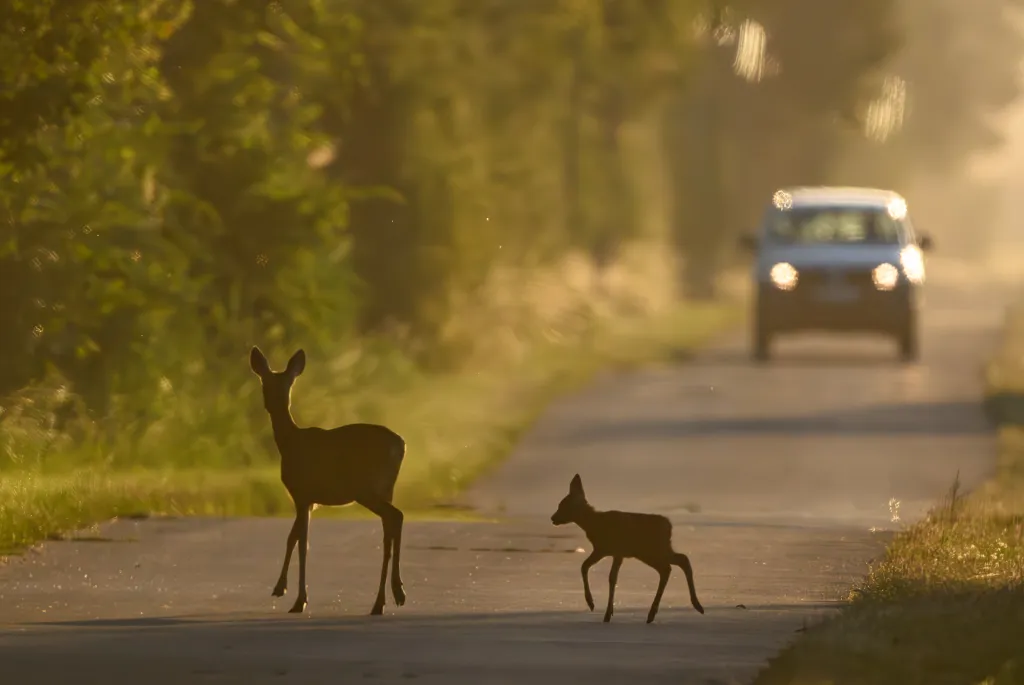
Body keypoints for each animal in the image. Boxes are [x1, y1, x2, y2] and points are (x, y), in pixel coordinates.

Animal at [249, 345, 407, 615]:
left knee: (395, 517)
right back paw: (386, 599)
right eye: (266, 383)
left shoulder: (301, 493)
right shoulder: (309, 500)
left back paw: (389, 597)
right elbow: (293, 538)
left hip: (367, 488)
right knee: (390, 527)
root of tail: (401, 445)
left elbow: (302, 543)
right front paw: (281, 588)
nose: (271, 404)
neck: (289, 443)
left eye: (286, 385)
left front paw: (299, 600)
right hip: (386, 488)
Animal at [551, 473, 705, 624]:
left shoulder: (610, 550)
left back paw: (654, 614)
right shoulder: (610, 552)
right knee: (681, 560)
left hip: (650, 551)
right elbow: (598, 572)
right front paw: (603, 609)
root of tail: (669, 527)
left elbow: (599, 572)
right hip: (658, 549)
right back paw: (694, 606)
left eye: (563, 506)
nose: (553, 518)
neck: (595, 524)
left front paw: (596, 607)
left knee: (668, 568)